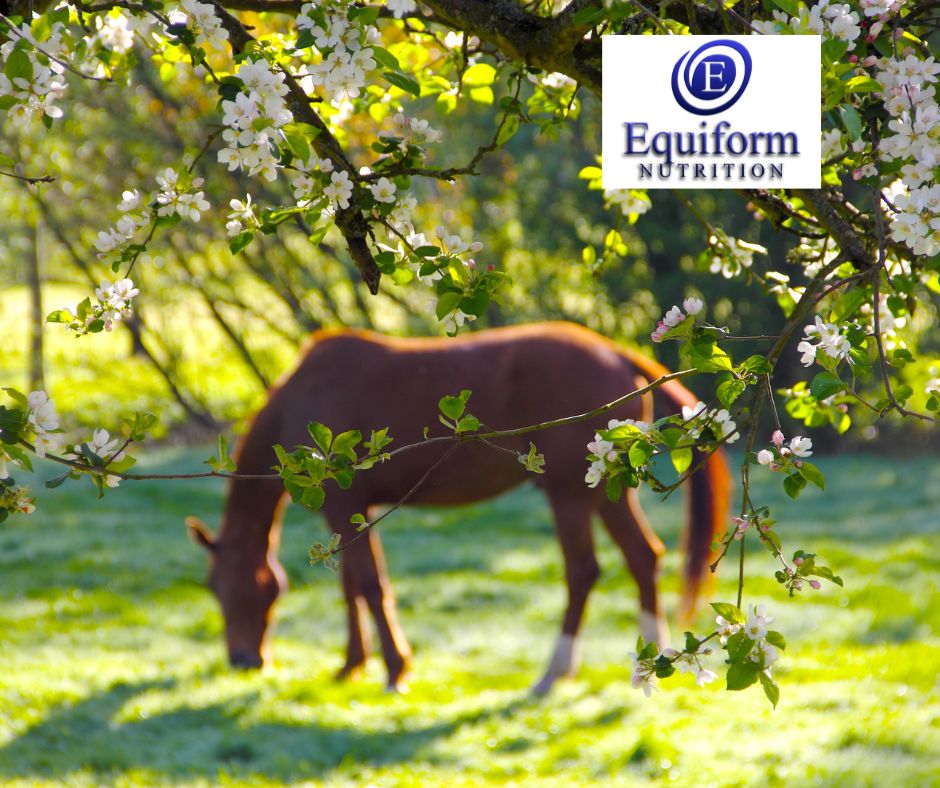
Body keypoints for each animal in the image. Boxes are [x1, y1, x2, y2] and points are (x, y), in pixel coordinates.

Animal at [185, 322, 731, 694]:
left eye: (225, 587)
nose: (243, 661)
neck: (304, 397)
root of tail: (618, 354)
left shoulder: (344, 505)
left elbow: (369, 585)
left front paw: (394, 669)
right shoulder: (349, 514)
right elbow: (351, 587)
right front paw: (350, 665)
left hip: (570, 496)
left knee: (583, 572)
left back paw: (552, 673)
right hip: (606, 493)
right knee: (643, 557)